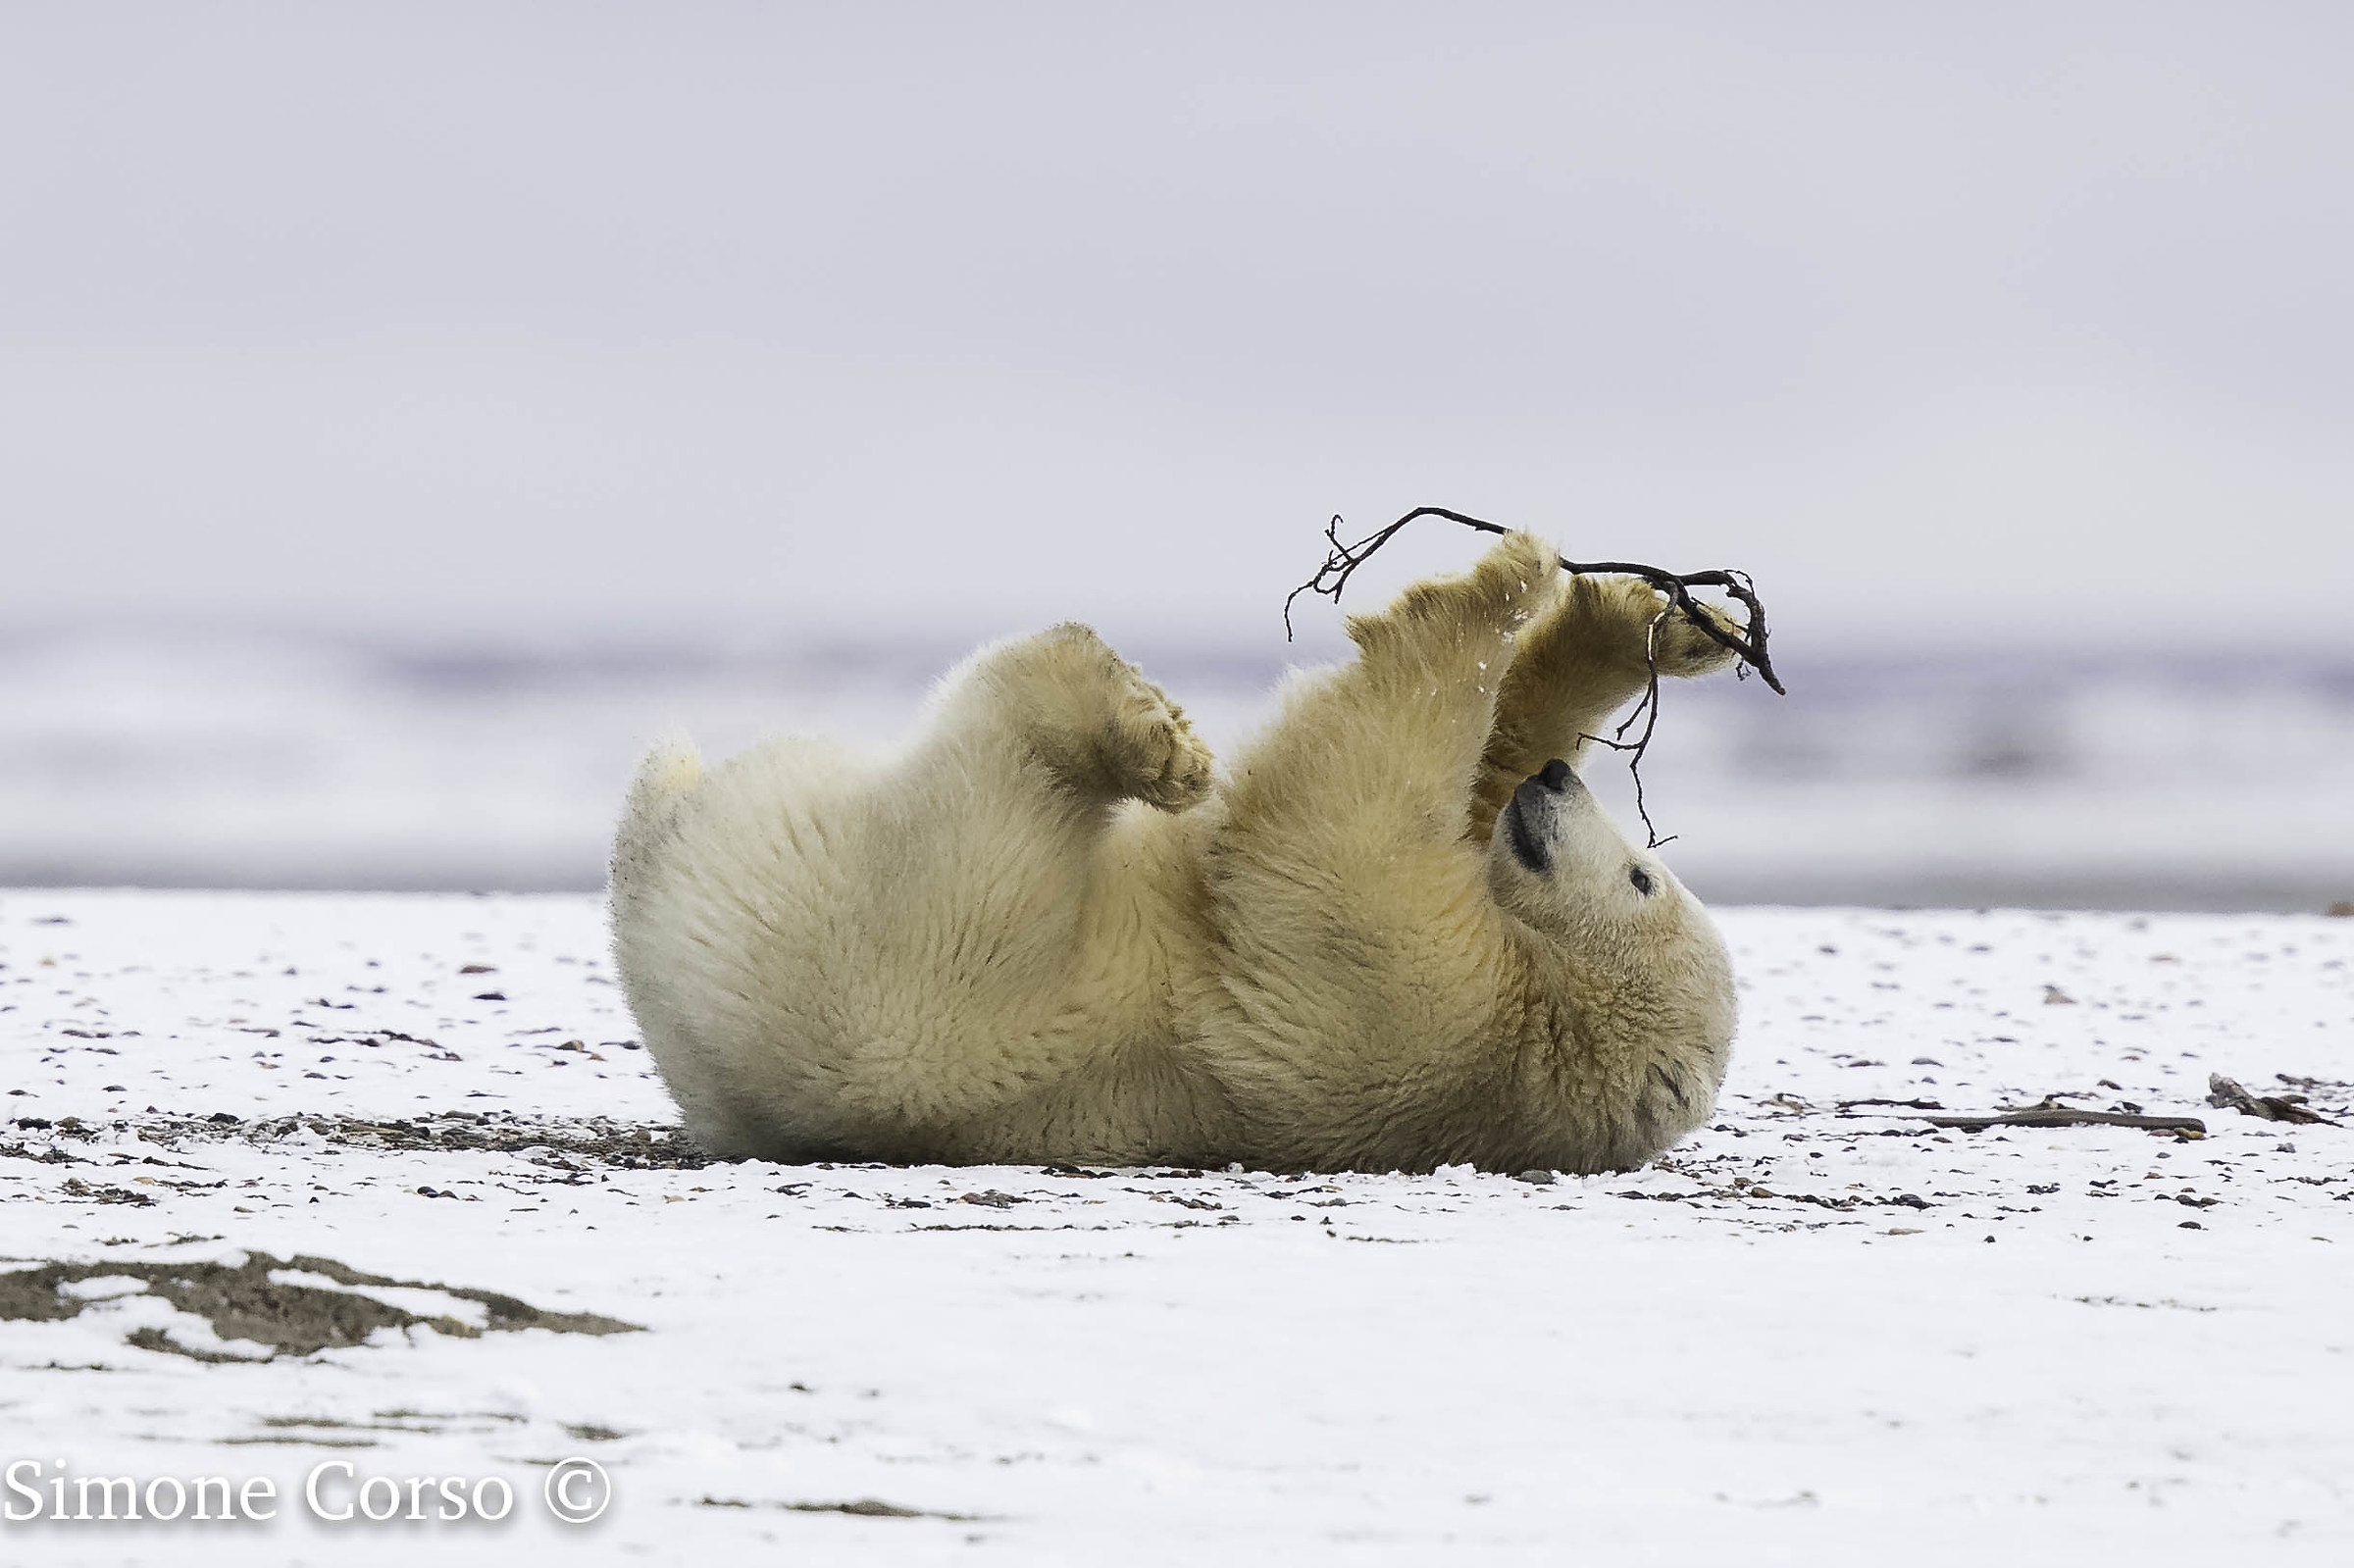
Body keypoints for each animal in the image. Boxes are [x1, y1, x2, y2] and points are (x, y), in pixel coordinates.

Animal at [608, 530, 1739, 1174]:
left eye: (1642, 876)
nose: (1558, 786)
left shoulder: (1409, 1011)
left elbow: (1336, 821)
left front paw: (1507, 574)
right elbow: (1476, 771)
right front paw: (1646, 619)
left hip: (910, 956)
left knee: (1003, 774)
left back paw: (1140, 726)